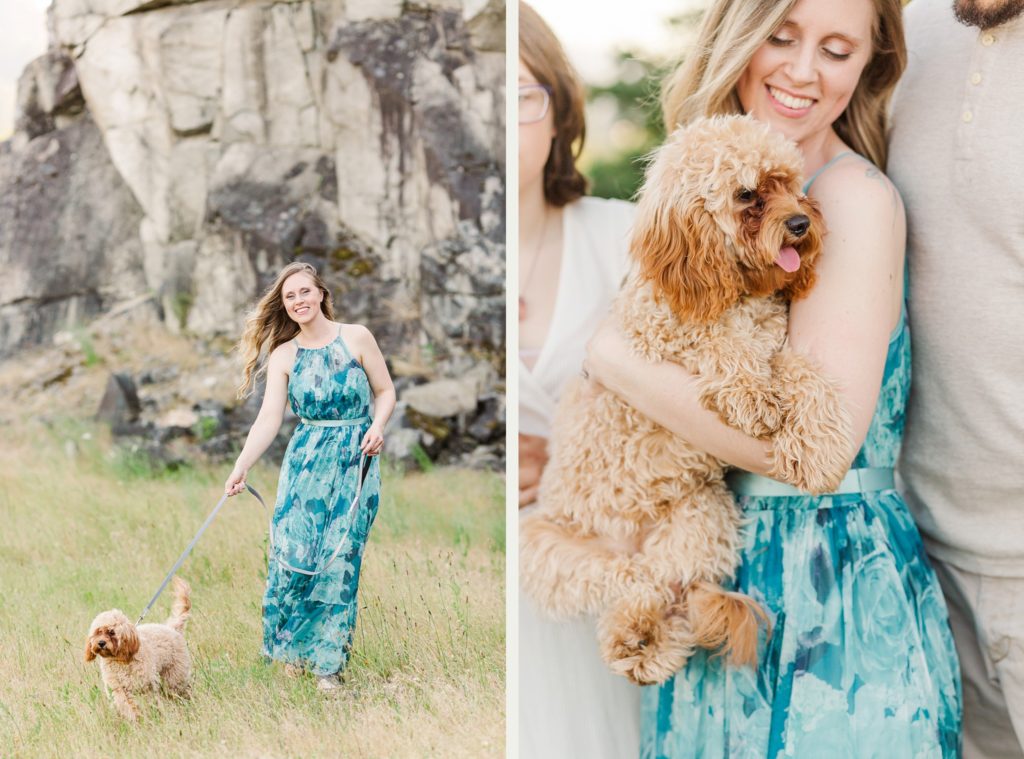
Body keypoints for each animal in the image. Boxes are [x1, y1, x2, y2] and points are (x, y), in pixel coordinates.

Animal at [524, 114, 851, 688]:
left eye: (789, 182)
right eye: (747, 195)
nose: (800, 224)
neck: (739, 294)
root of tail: (630, 544)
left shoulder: (777, 347)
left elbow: (803, 373)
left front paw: (819, 448)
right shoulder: (653, 332)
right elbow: (716, 342)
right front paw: (751, 395)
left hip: (701, 511)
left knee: (668, 591)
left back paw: (644, 644)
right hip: (547, 548)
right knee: (627, 581)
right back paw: (634, 633)